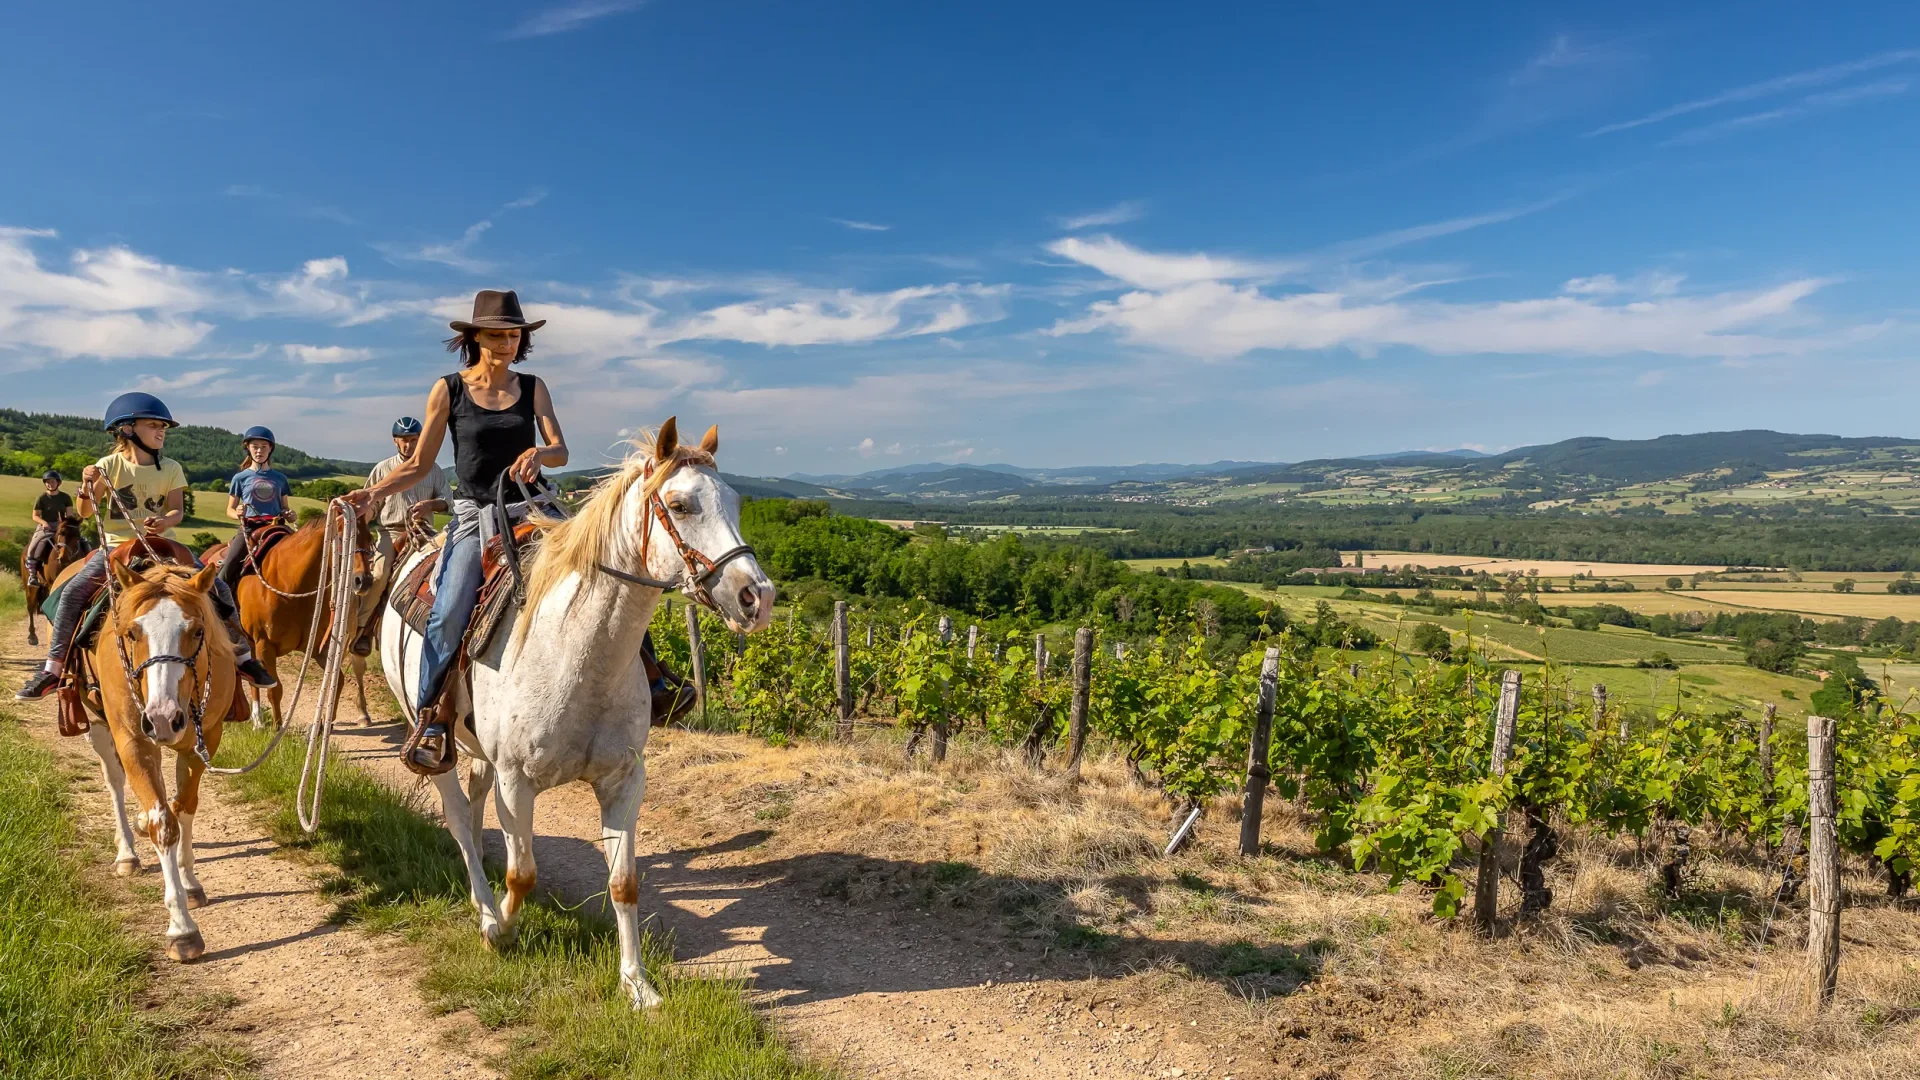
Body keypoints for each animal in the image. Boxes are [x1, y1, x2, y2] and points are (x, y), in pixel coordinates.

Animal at [79, 553, 238, 957]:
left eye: (196, 631)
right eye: (133, 634)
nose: (163, 717)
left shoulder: (203, 741)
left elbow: (184, 809)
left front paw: (190, 882)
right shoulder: (134, 741)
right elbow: (162, 824)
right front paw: (182, 928)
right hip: (100, 724)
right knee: (115, 781)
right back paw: (127, 852)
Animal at [202, 515, 370, 722]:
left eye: (370, 539)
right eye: (342, 538)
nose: (363, 580)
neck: (290, 584)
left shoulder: (318, 648)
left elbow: (336, 681)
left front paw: (324, 723)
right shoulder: (265, 645)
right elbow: (275, 690)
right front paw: (277, 727)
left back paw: (257, 718)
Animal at [378, 417, 775, 1006]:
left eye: (736, 501)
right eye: (680, 505)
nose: (758, 597)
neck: (577, 651)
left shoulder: (624, 780)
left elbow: (623, 882)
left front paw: (637, 985)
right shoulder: (516, 780)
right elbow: (522, 872)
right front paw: (501, 931)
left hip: (476, 752)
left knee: (473, 808)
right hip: (431, 739)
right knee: (457, 819)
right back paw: (484, 908)